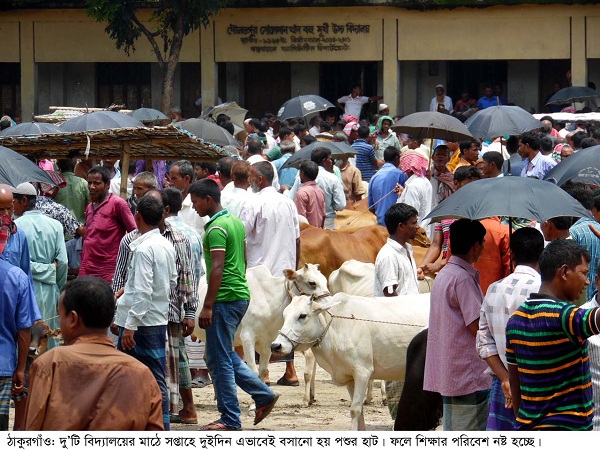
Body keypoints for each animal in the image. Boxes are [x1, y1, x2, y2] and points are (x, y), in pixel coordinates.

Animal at [193, 264, 329, 407]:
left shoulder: (269, 343)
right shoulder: (247, 338)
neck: (269, 301)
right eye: (312, 283)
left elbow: (263, 371)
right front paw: (254, 403)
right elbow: (253, 370)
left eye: (325, 281)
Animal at [271, 292, 430, 430]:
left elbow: (354, 410)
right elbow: (360, 410)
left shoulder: (363, 372)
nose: (276, 346)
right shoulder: (349, 377)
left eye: (302, 316)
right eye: (284, 315)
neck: (336, 328)